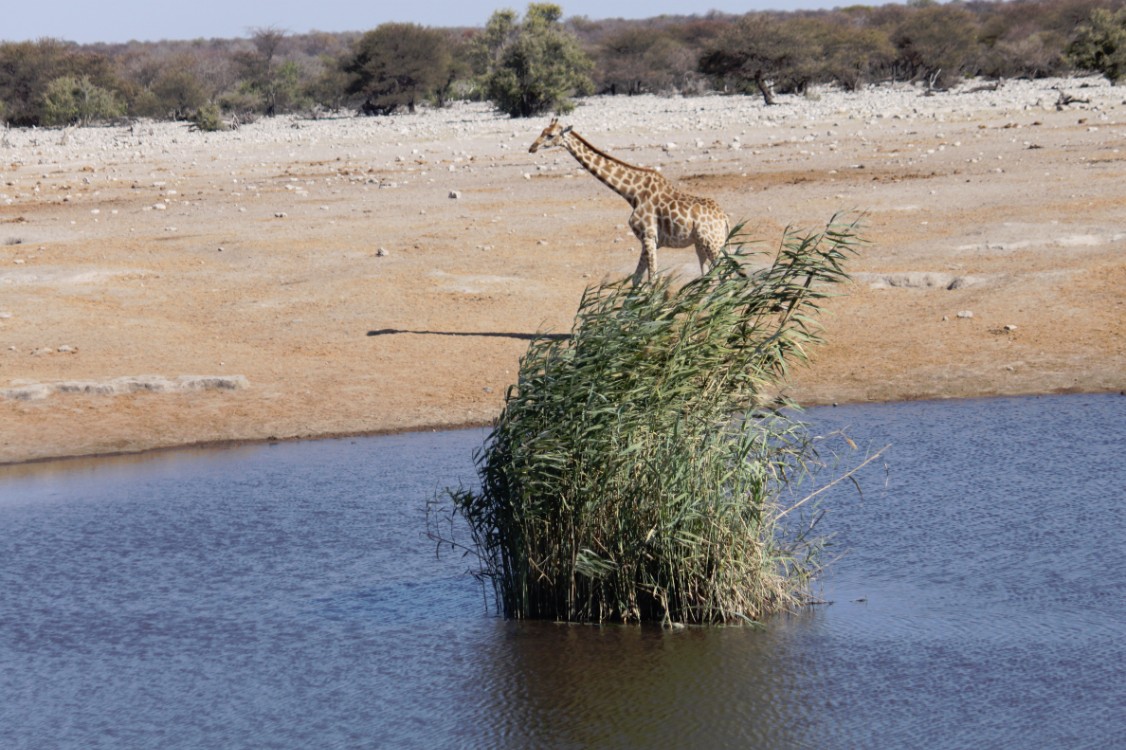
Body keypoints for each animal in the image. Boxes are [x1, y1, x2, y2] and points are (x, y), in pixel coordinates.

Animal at [526, 118, 729, 284]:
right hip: (702, 244)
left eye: (550, 135)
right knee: (710, 277)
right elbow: (636, 279)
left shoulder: (649, 236)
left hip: (713, 243)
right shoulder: (648, 241)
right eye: (542, 131)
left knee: (727, 277)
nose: (532, 148)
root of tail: (725, 218)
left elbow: (652, 280)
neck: (632, 193)